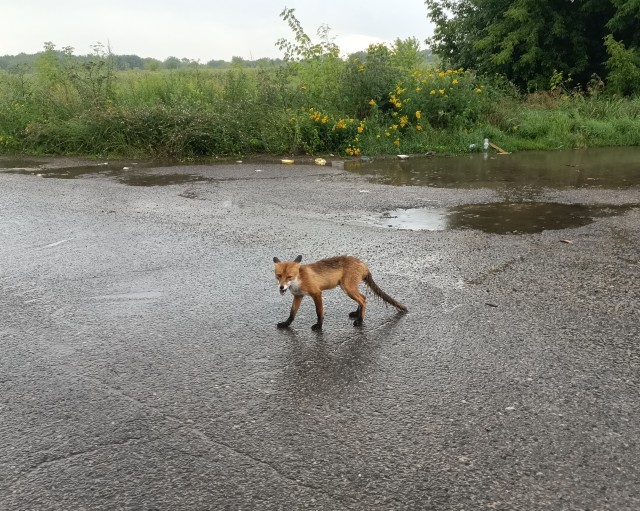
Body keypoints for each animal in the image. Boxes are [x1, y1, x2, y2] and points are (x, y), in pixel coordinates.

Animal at [273, 255, 407, 331]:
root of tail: (363, 263)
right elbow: (292, 313)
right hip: (350, 289)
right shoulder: (298, 295)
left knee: (363, 300)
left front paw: (319, 326)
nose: (281, 287)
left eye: (289, 277)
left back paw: (360, 320)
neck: (299, 279)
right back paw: (357, 314)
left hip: (347, 288)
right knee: (363, 297)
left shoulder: (317, 293)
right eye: (278, 276)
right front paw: (286, 324)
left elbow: (319, 312)